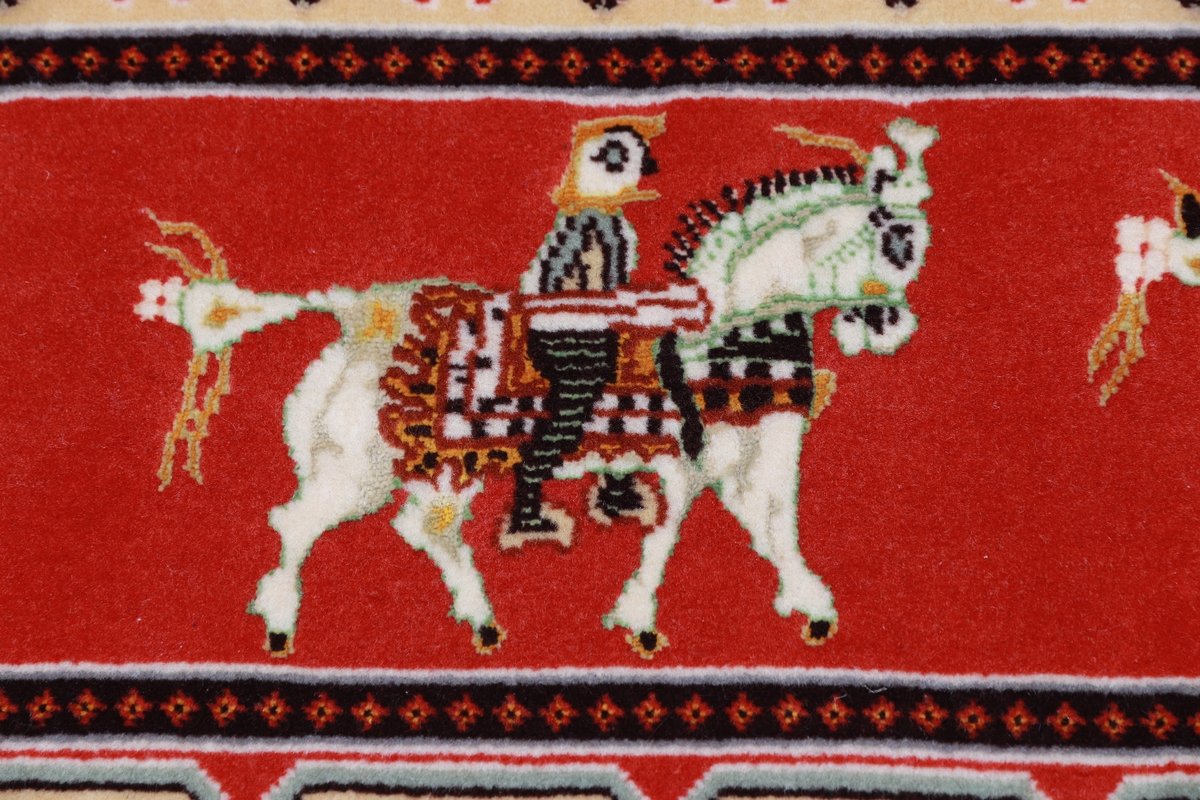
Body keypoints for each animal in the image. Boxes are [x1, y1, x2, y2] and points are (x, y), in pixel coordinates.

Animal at [136, 116, 938, 659]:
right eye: (898, 241)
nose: (892, 323)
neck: (724, 333)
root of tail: (361, 311)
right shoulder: (696, 460)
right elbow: (681, 534)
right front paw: (642, 619)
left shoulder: (750, 461)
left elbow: (773, 531)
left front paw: (807, 604)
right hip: (359, 467)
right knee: (300, 523)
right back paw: (281, 623)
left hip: (419, 466)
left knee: (424, 530)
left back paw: (483, 618)